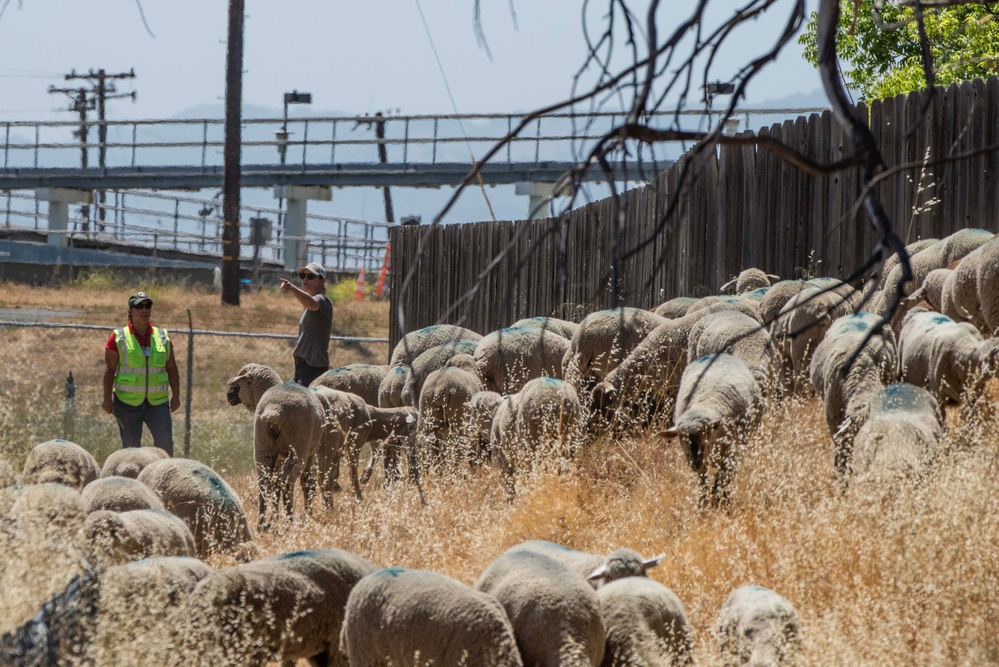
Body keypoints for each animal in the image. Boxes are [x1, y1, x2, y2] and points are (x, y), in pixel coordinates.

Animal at [664, 354, 764, 500]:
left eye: (706, 433)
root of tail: (722, 354)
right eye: (681, 437)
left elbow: (721, 480)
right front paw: (704, 501)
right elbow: (703, 483)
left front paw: (718, 498)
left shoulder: (729, 453)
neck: (704, 404)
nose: (695, 461)